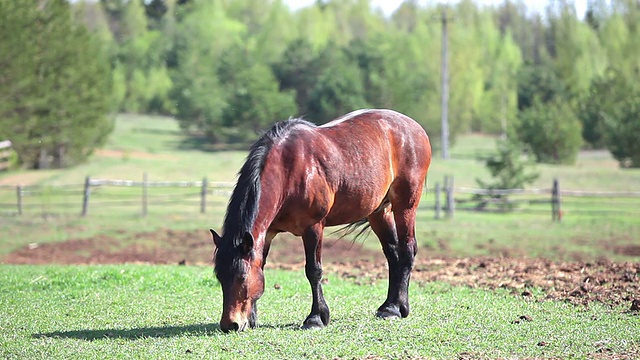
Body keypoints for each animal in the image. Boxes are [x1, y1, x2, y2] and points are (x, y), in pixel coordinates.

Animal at [210, 107, 430, 332]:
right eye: (220, 277)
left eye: (242, 277)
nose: (230, 324)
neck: (289, 170)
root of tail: (414, 127)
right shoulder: (267, 232)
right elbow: (260, 265)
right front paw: (253, 318)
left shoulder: (313, 228)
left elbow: (313, 270)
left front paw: (316, 318)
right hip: (379, 211)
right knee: (392, 253)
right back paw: (388, 306)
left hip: (405, 205)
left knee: (407, 249)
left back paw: (398, 308)